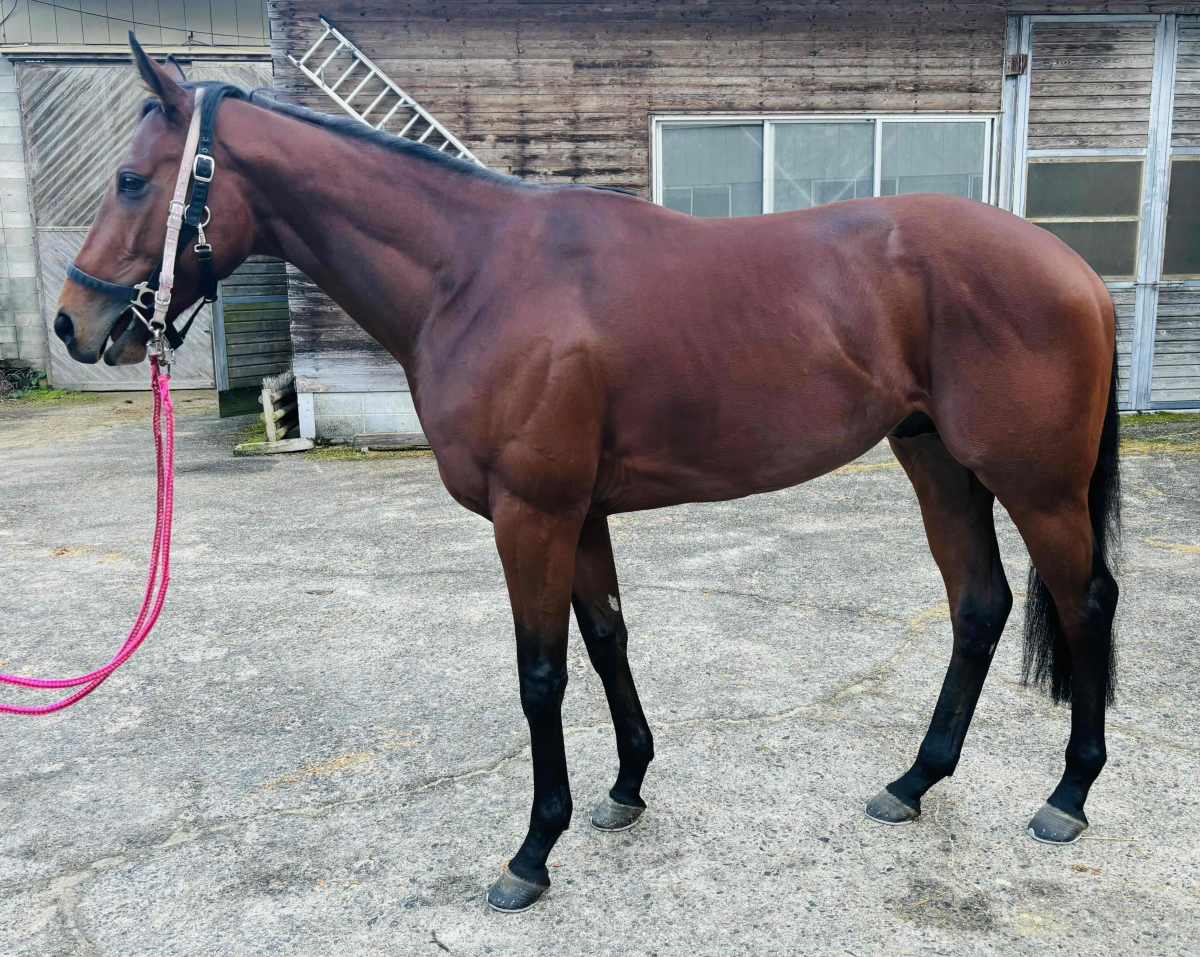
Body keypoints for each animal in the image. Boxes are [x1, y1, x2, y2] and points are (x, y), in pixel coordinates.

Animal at [54, 37, 1120, 912]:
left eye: (133, 179)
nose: (73, 322)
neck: (475, 273)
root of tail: (1072, 267)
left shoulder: (531, 513)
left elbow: (541, 674)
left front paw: (532, 851)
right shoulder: (582, 513)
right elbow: (607, 639)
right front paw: (626, 787)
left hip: (1037, 484)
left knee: (1086, 603)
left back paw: (1068, 793)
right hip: (935, 460)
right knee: (980, 604)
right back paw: (912, 782)